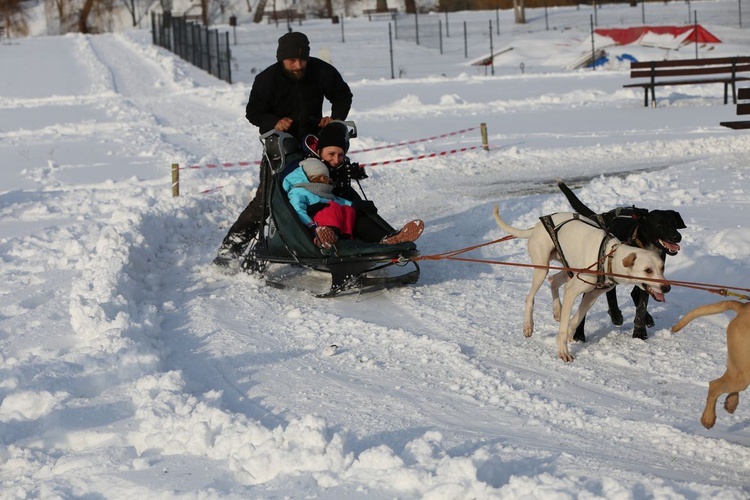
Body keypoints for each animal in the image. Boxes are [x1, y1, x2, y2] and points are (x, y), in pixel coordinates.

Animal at [496, 205, 672, 362]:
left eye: (662, 268)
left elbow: (575, 319)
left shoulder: (592, 294)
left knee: (553, 281)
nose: (667, 287)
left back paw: (557, 310)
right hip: (542, 268)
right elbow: (565, 326)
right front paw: (563, 351)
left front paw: (570, 333)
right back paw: (528, 326)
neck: (608, 257)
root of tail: (536, 226)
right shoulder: (572, 291)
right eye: (648, 270)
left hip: (567, 270)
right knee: (530, 296)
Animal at [560, 179, 688, 340]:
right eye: (659, 224)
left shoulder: (650, 277)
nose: (677, 236)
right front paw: (616, 316)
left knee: (635, 294)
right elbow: (611, 297)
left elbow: (641, 305)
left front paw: (639, 331)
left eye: (674, 224)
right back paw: (579, 333)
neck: (642, 244)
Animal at [672, 300, 750, 430]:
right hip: (743, 373)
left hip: (739, 367)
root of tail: (744, 306)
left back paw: (731, 403)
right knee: (714, 385)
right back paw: (708, 418)